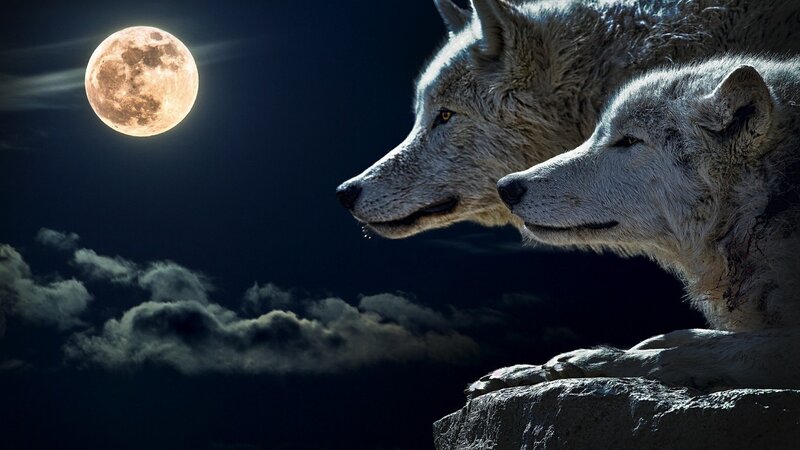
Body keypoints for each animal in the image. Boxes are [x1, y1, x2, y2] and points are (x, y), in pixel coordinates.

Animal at [469, 56, 800, 397]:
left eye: (629, 140)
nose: (506, 187)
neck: (765, 207)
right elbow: (690, 337)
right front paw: (525, 371)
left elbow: (681, 354)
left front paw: (583, 361)